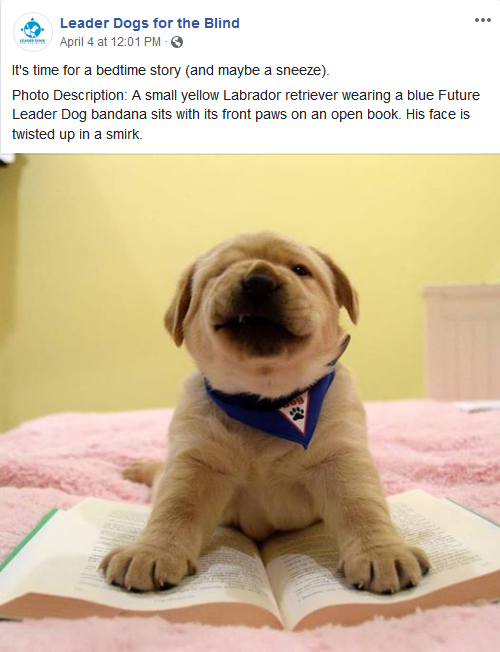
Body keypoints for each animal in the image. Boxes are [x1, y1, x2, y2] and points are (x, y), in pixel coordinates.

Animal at [100, 232, 430, 592]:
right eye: (220, 271)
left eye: (300, 270)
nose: (258, 281)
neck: (265, 402)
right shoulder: (196, 460)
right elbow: (175, 507)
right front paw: (151, 551)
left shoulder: (340, 457)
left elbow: (362, 506)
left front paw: (382, 552)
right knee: (159, 476)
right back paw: (137, 469)